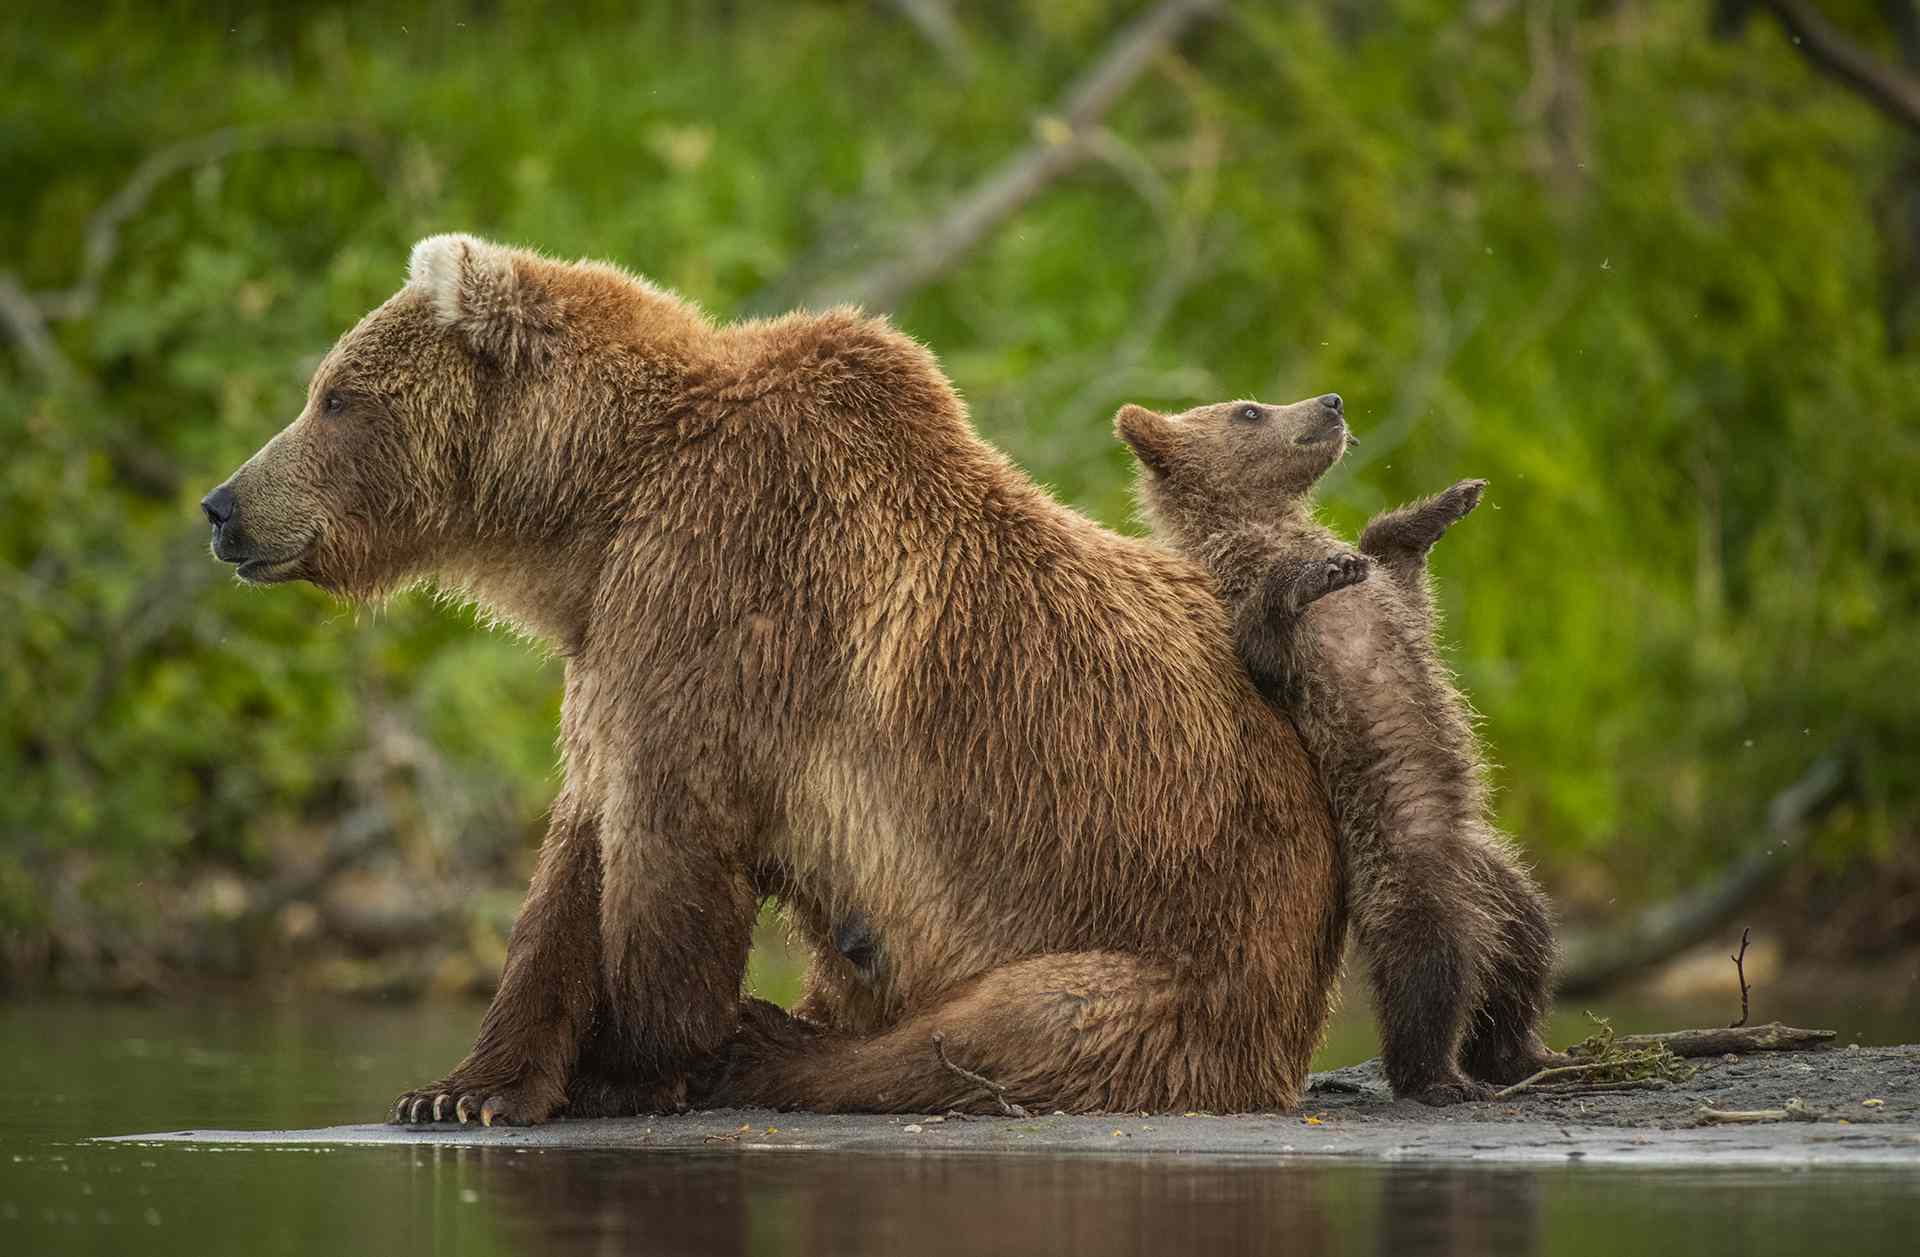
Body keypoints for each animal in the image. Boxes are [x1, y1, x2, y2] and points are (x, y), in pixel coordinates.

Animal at [202, 236, 1344, 1120]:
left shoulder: (722, 596)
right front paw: (463, 1088)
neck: (595, 508)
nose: (223, 506)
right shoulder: (617, 635)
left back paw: (772, 1042)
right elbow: (573, 854)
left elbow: (668, 841)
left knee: (1013, 1028)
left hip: (1184, 935)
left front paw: (632, 1064)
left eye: (333, 396)